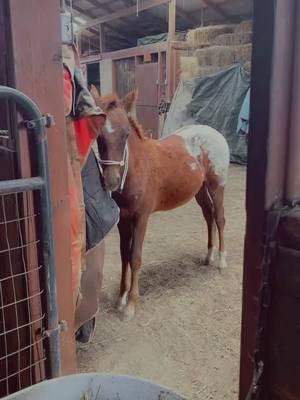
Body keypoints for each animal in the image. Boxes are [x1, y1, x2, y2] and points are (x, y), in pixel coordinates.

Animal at [91, 86, 230, 318]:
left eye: (125, 134)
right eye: (98, 136)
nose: (111, 181)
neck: (138, 167)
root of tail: (215, 133)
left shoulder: (141, 218)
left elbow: (135, 257)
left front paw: (131, 304)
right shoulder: (123, 220)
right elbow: (124, 255)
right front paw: (121, 298)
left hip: (216, 186)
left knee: (219, 218)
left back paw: (221, 261)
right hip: (200, 191)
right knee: (208, 216)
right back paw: (208, 256)